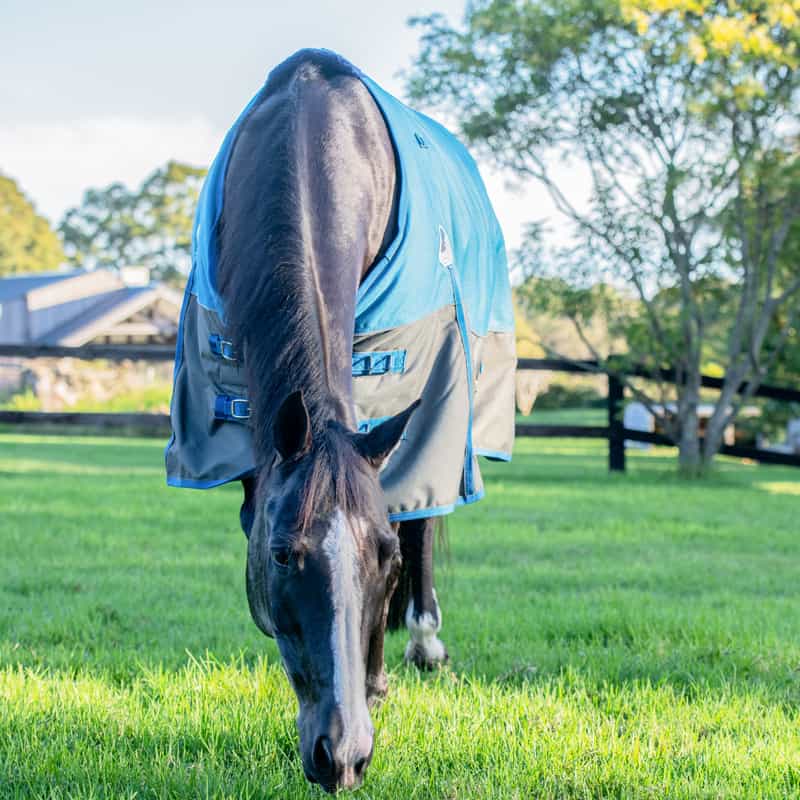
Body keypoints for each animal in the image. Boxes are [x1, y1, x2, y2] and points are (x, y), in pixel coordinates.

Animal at [166, 48, 515, 793]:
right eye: (280, 555)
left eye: (383, 557)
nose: (344, 754)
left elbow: (408, 521)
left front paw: (381, 677)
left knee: (425, 515)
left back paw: (423, 642)